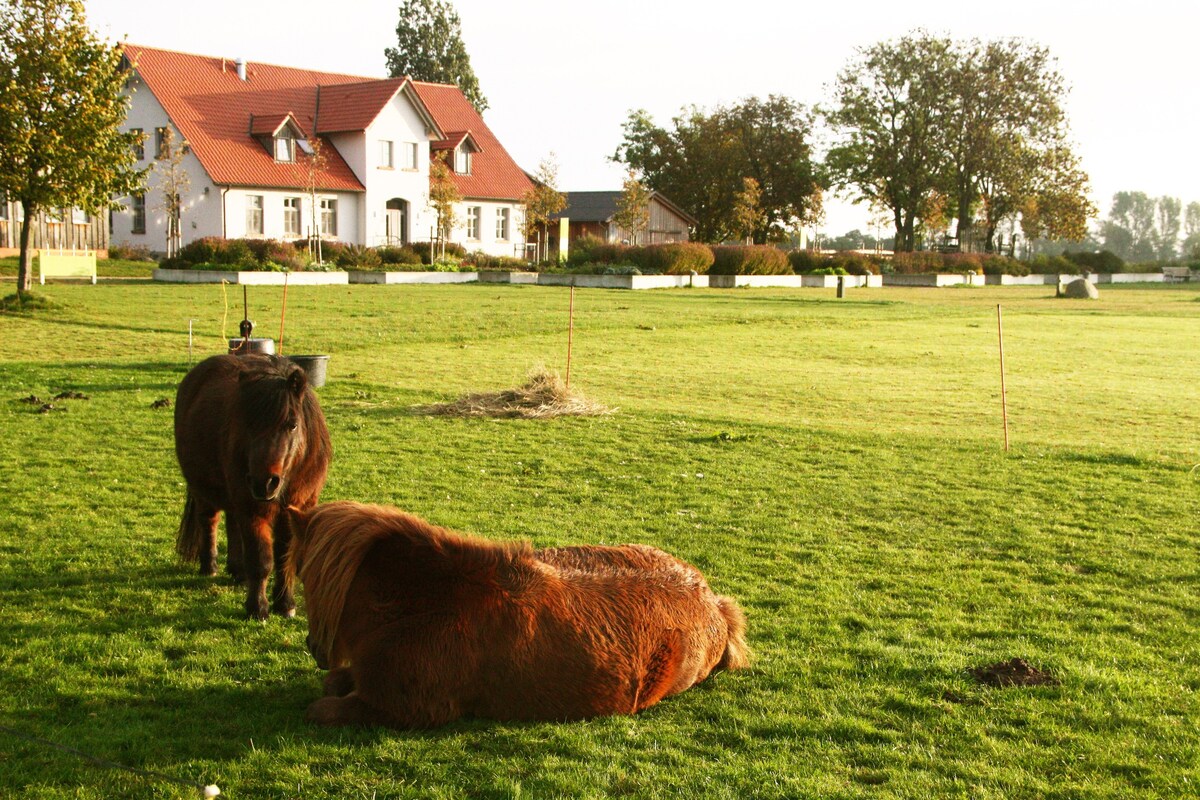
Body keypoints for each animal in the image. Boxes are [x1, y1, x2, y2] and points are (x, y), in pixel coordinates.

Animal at [175, 352, 333, 623]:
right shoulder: (252, 507)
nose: (264, 483)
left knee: (232, 524)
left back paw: (237, 571)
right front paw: (257, 608)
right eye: (247, 425)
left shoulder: (296, 508)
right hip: (205, 489)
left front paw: (285, 604)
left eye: (292, 424)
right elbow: (261, 560)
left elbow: (284, 557)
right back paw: (210, 566)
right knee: (210, 521)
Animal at [285, 503, 744, 729]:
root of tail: (714, 602)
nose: (314, 649)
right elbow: (333, 683)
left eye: (305, 575)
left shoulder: (403, 710)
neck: (425, 603)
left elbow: (320, 707)